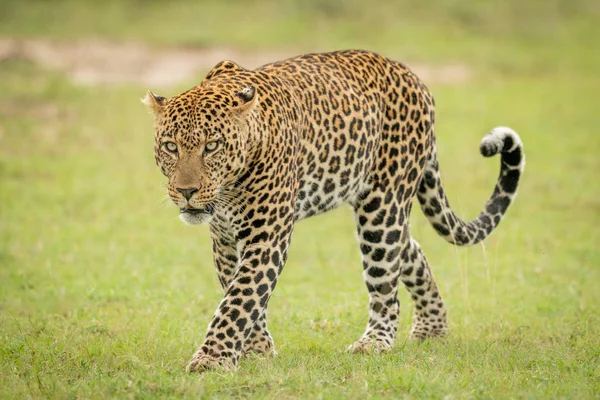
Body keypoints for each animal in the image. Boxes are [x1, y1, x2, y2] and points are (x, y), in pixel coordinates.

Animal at [142, 49, 524, 372]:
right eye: (171, 147)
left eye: (212, 147)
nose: (186, 191)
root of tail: (414, 77)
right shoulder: (224, 238)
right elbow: (239, 292)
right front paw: (257, 350)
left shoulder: (267, 235)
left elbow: (241, 297)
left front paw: (212, 360)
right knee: (410, 249)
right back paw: (432, 328)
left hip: (381, 207)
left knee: (387, 280)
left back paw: (375, 342)